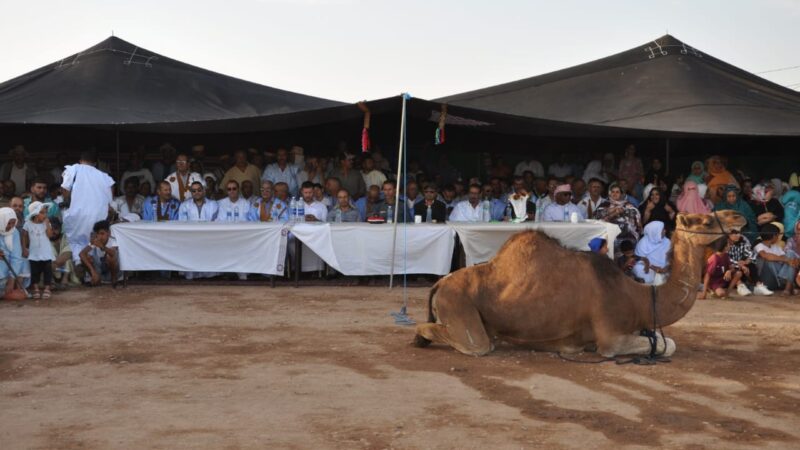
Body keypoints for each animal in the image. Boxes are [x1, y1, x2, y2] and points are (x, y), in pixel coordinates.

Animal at [416, 212, 748, 358]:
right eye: (704, 220)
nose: (737, 217)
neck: (637, 296)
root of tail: (440, 285)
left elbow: (666, 342)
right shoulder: (610, 337)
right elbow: (665, 346)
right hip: (460, 307)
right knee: (477, 344)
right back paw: (421, 337)